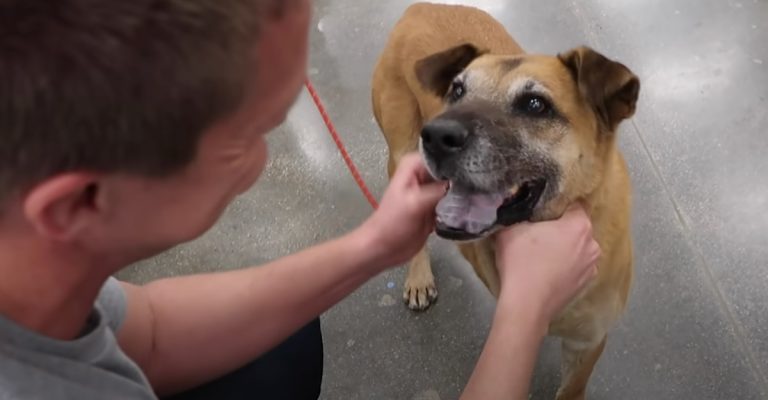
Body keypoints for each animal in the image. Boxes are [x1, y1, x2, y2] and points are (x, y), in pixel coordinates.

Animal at [370, 3, 636, 400]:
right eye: (457, 90)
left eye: (535, 104)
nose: (435, 135)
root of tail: (424, 7)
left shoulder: (587, 344)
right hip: (400, 153)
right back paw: (418, 277)